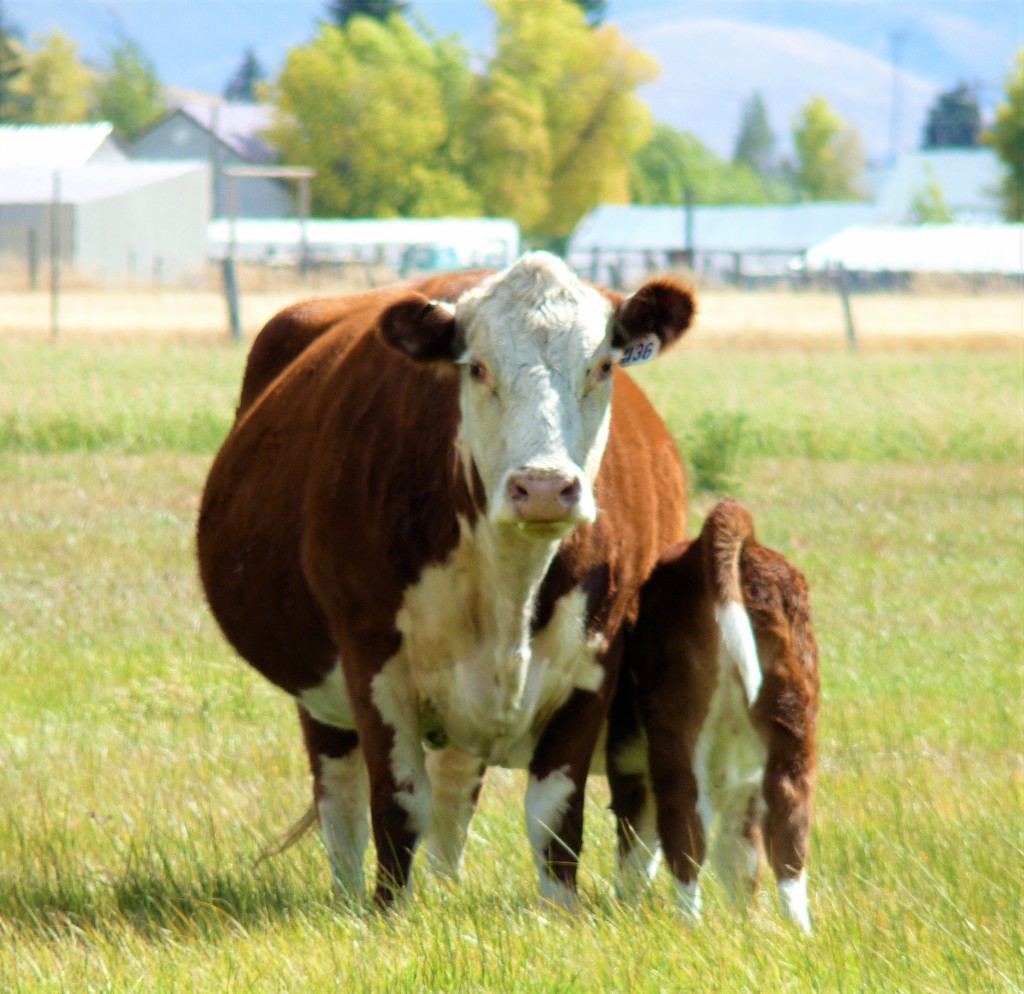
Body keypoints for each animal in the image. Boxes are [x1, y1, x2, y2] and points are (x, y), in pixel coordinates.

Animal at [196, 252, 696, 907]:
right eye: (477, 367)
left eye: (603, 365)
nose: (543, 488)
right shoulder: (372, 662)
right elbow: (398, 805)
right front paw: (390, 915)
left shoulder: (593, 667)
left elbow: (556, 818)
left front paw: (561, 915)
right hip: (321, 694)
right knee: (343, 804)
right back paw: (350, 900)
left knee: (457, 800)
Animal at [609, 498, 819, 932]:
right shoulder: (745, 789)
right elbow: (741, 860)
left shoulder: (629, 767)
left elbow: (637, 845)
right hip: (793, 723)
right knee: (789, 835)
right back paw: (800, 933)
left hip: (676, 730)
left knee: (683, 831)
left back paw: (688, 927)